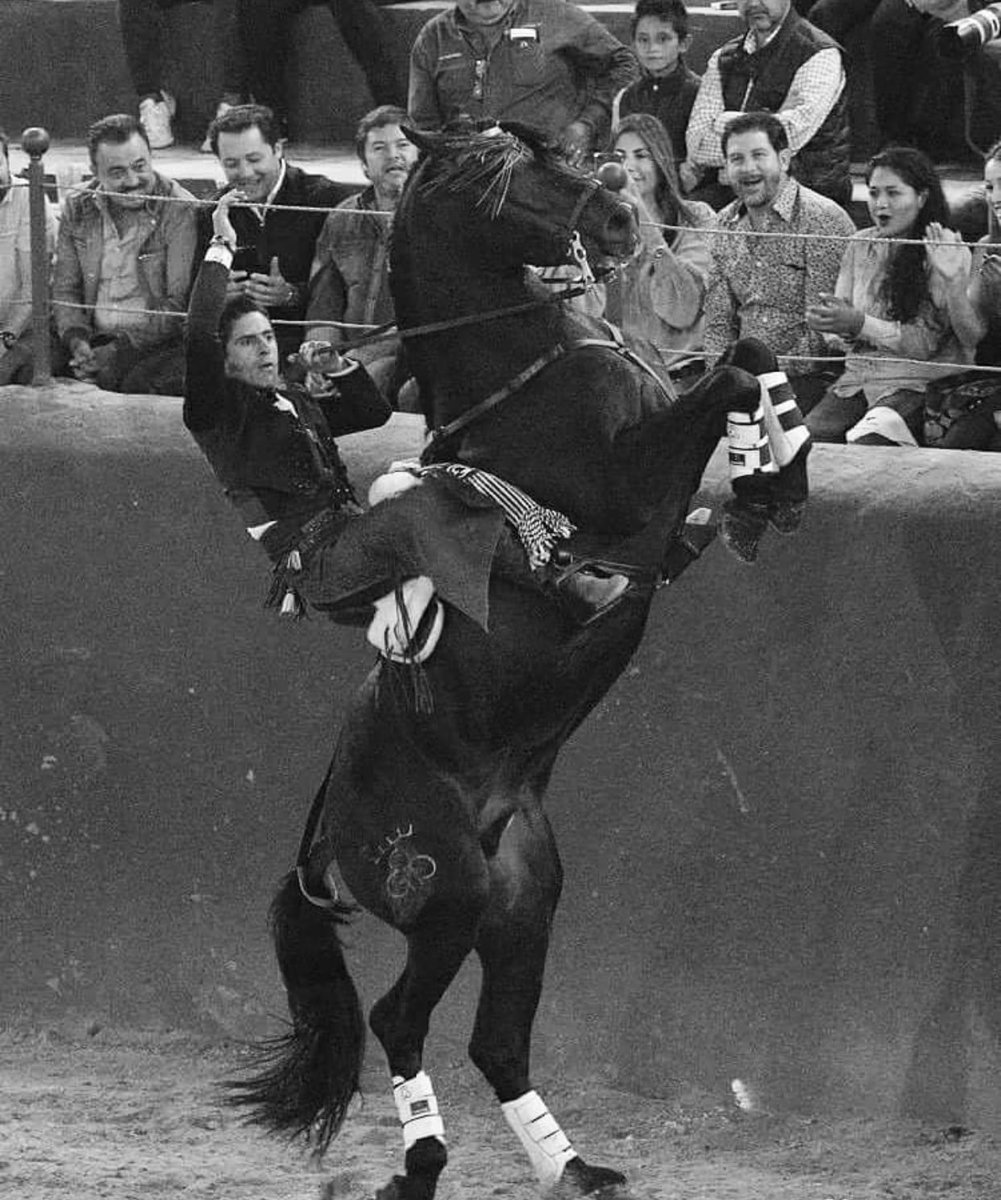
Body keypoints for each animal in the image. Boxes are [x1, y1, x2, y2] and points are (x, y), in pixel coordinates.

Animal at [227, 123, 807, 1199]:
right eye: (502, 183)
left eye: (563, 151)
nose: (619, 218)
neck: (531, 366)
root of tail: (326, 835)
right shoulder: (628, 490)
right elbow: (733, 374)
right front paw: (761, 480)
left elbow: (747, 353)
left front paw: (769, 482)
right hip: (442, 888)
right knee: (399, 1020)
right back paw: (419, 1165)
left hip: (522, 905)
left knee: (497, 1041)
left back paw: (572, 1167)